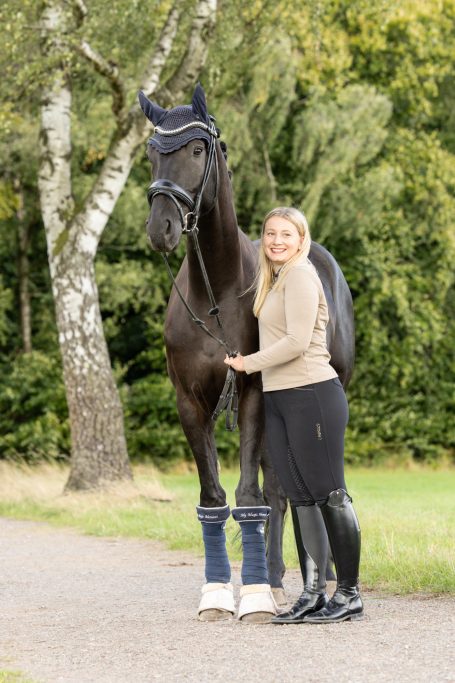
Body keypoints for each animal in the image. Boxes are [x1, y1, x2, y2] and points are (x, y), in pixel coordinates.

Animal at [138, 84, 355, 621]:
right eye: (152, 151)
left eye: (198, 149)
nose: (161, 227)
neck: (215, 293)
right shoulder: (189, 404)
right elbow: (214, 497)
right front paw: (217, 593)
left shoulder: (254, 394)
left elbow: (250, 494)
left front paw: (254, 595)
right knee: (286, 490)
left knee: (293, 489)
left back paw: (307, 582)